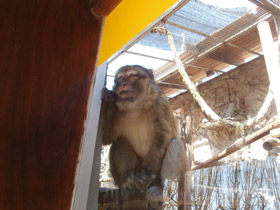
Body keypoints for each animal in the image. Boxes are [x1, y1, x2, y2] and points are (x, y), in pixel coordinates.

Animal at [100, 65, 188, 206]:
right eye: (120, 78)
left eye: (132, 76)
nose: (122, 84)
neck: (135, 107)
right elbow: (107, 138)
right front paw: (109, 98)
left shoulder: (160, 104)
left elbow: (164, 137)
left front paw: (149, 174)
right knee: (120, 140)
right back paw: (128, 179)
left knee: (176, 142)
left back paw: (161, 192)